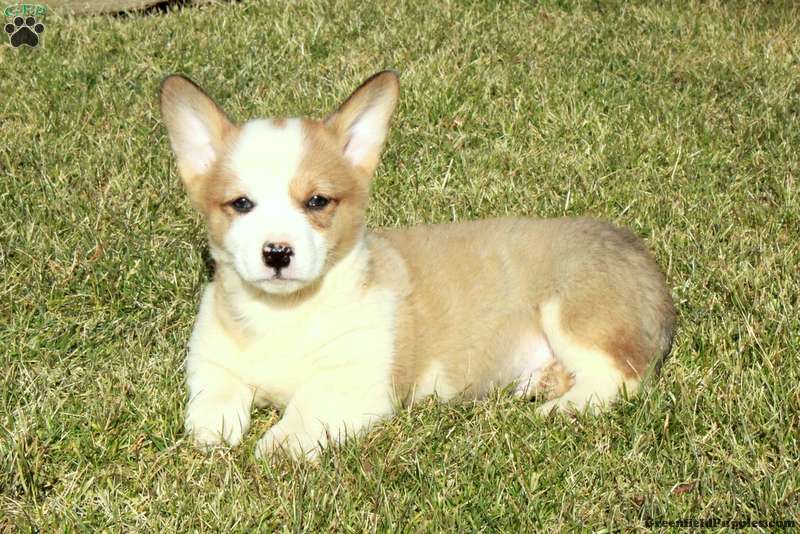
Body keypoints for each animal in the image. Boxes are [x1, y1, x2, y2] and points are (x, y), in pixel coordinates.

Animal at [159, 71, 675, 460]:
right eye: (241, 204)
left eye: (317, 201)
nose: (277, 253)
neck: (283, 314)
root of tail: (639, 254)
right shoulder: (210, 361)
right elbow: (214, 398)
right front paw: (215, 433)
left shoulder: (356, 383)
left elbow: (305, 409)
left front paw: (278, 446)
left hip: (575, 314)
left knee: (621, 377)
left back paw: (560, 410)